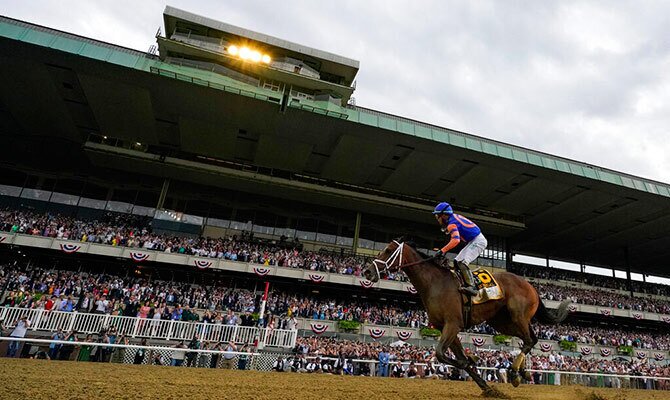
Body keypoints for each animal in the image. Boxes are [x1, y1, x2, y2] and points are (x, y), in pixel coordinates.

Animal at [364, 238, 568, 396]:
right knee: (530, 339)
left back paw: (514, 372)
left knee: (529, 339)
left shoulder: (453, 324)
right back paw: (522, 372)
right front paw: (486, 385)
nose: (367, 271)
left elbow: (441, 354)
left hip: (518, 316)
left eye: (388, 250)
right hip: (502, 322)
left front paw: (471, 361)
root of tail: (531, 286)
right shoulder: (446, 327)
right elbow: (454, 357)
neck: (435, 283)